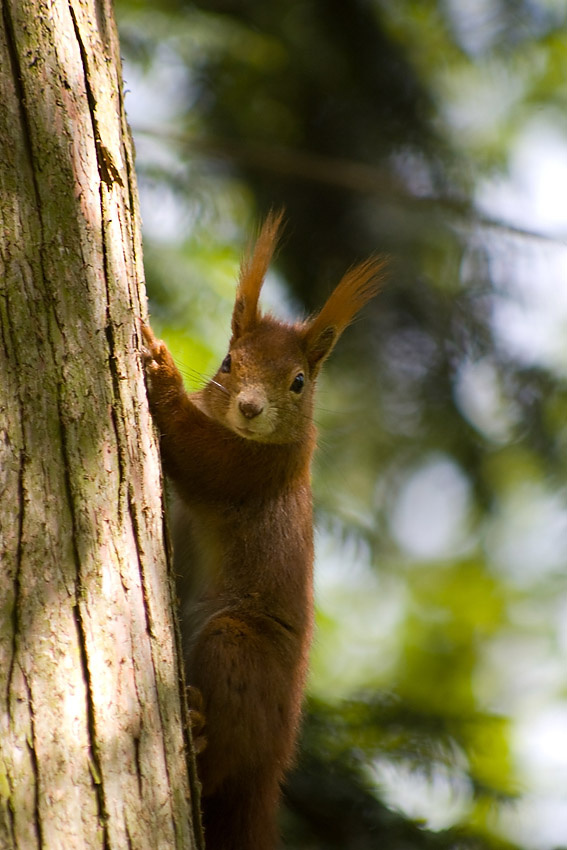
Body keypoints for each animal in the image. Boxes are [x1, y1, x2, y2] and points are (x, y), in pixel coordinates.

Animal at [142, 211, 385, 850]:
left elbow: (197, 455)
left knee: (223, 761)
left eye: (298, 382)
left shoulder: (253, 469)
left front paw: (161, 371)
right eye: (229, 362)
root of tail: (270, 773)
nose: (250, 408)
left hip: (239, 646)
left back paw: (199, 729)